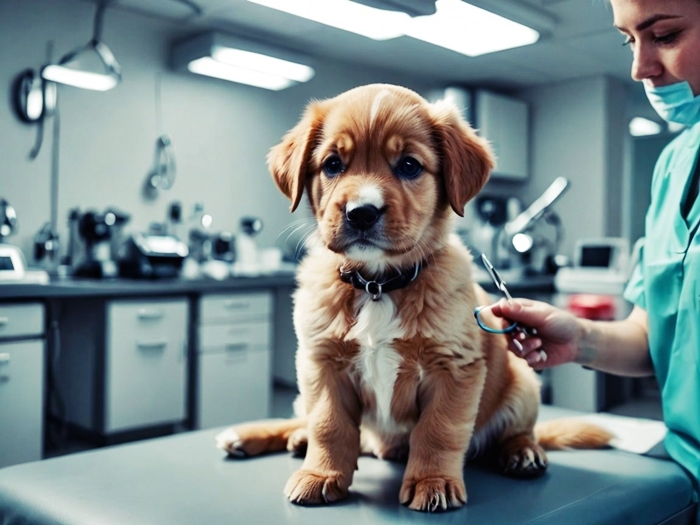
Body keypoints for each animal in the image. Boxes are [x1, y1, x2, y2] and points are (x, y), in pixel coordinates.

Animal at [216, 84, 608, 510]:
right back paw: (259, 435)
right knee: (308, 421)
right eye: (333, 164)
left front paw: (433, 482)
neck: (377, 285)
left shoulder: (454, 367)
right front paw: (320, 475)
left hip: (524, 383)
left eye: (408, 165)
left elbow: (438, 430)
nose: (361, 213)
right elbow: (328, 424)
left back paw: (522, 452)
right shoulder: (320, 363)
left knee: (520, 430)